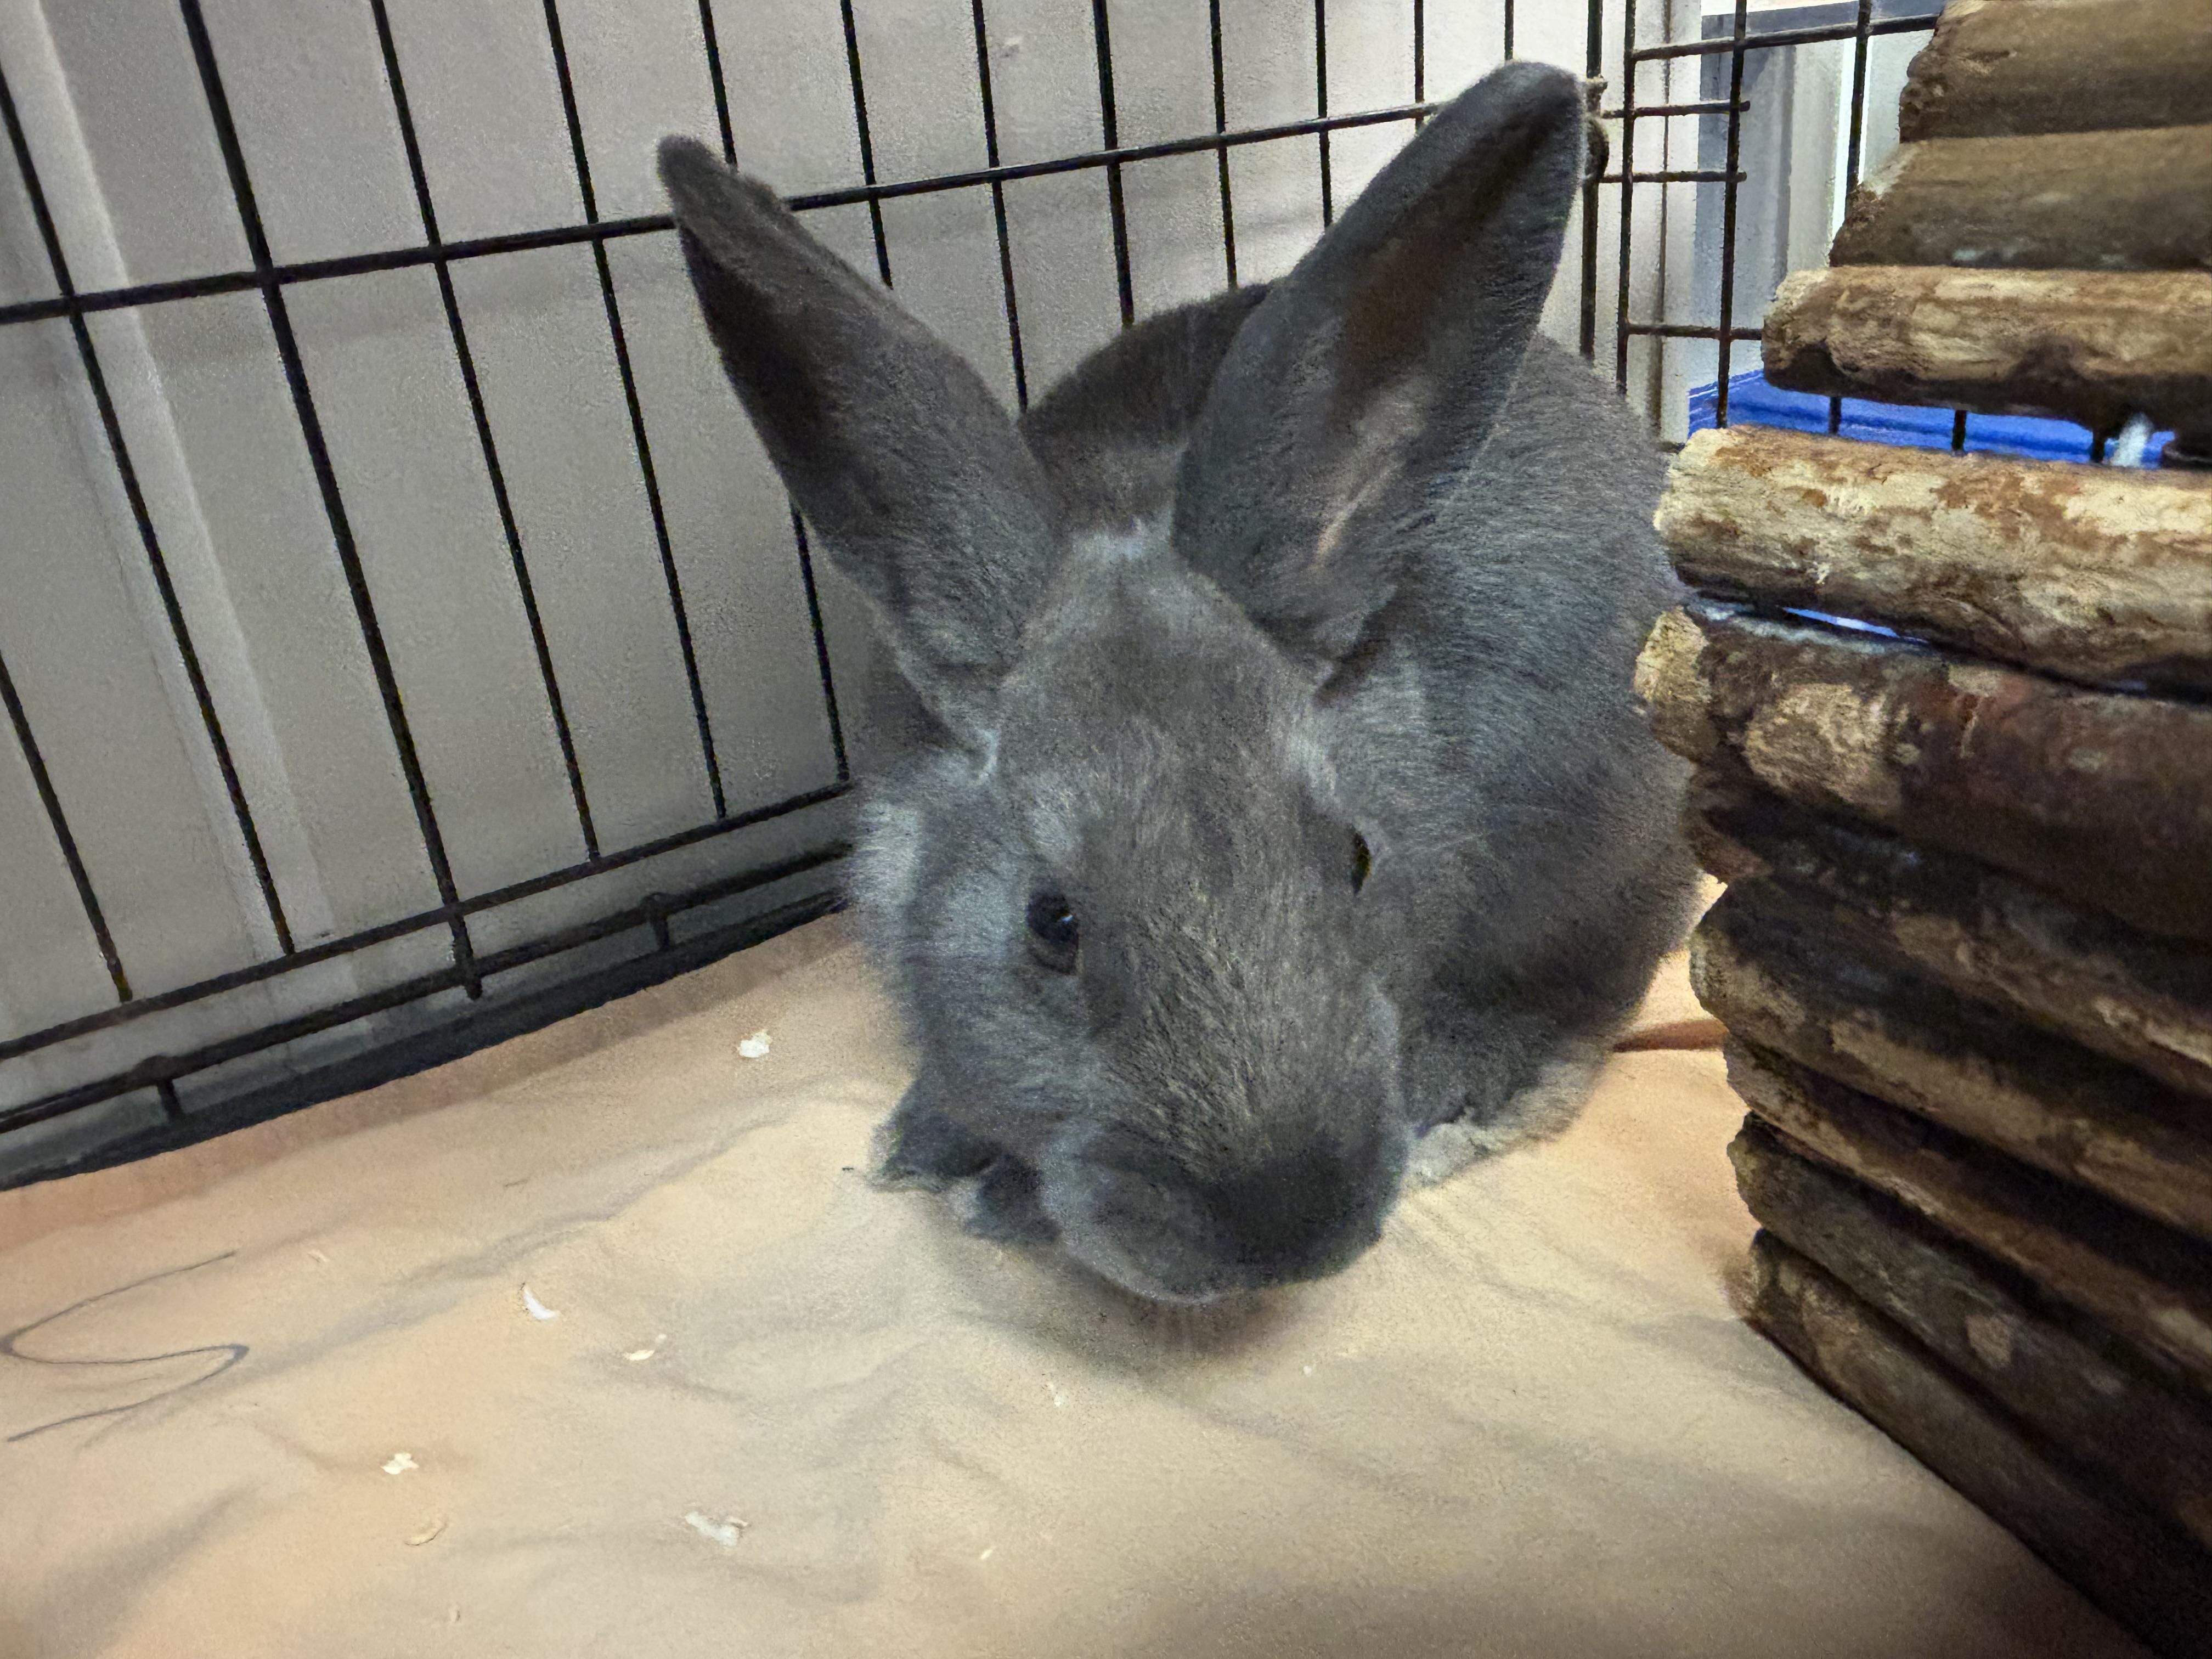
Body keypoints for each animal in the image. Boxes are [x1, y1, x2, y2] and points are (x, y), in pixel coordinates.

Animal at [657, 60, 1699, 1307]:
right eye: (1050, 924)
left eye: (1356, 861)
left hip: (1604, 839)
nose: (1286, 1229)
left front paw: (994, 1196)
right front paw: (926, 1142)